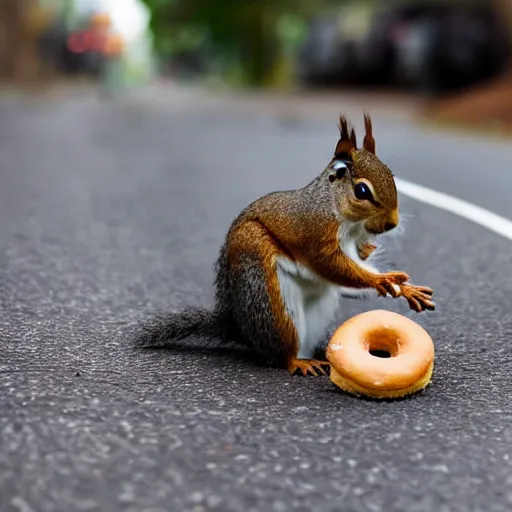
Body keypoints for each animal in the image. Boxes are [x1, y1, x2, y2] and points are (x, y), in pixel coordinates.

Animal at [138, 113, 434, 376]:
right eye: (362, 191)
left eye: (392, 176)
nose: (392, 223)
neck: (338, 212)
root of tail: (239, 326)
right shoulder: (317, 233)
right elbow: (333, 265)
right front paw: (383, 280)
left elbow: (358, 260)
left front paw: (404, 287)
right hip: (268, 295)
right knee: (279, 352)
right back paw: (298, 362)